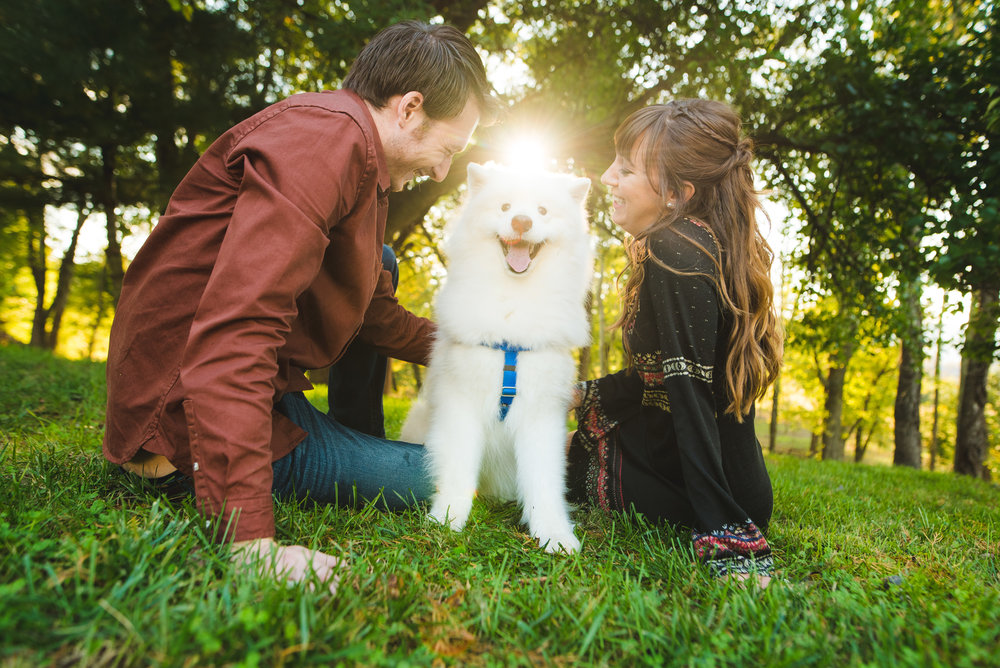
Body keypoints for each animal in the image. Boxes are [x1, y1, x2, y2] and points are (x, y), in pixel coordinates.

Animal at [402, 162, 592, 552]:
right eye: (505, 207)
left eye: (542, 211)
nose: (521, 221)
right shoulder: (460, 406)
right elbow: (457, 472)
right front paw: (447, 521)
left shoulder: (541, 416)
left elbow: (545, 484)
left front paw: (554, 534)